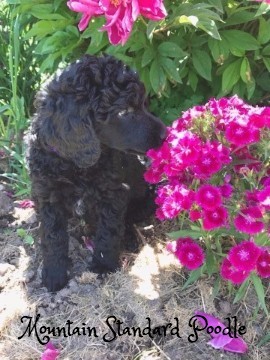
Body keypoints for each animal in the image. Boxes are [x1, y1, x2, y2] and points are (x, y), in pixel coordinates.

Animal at [28, 55, 167, 292]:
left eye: (144, 104)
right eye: (124, 112)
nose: (165, 134)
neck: (73, 164)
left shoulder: (113, 193)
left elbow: (108, 232)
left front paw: (103, 266)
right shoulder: (47, 196)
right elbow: (52, 236)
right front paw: (54, 274)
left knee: (130, 221)